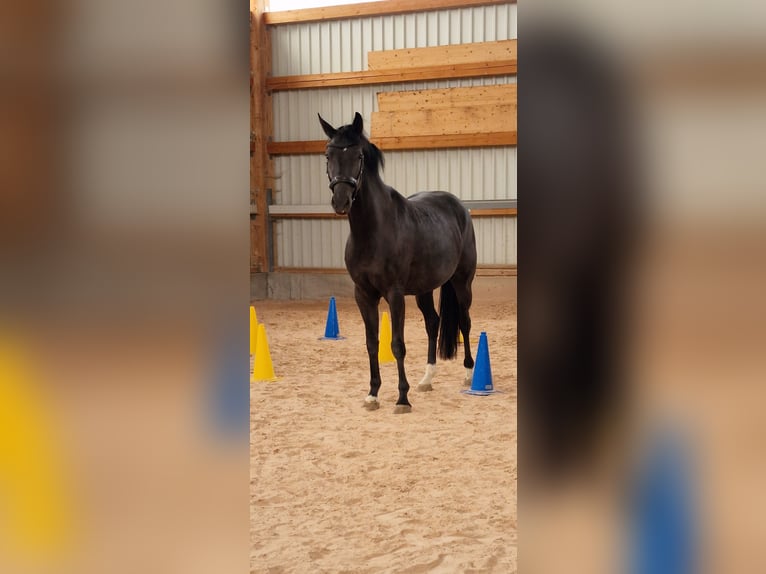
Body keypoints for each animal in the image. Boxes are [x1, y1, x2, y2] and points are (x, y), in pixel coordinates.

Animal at [318, 112, 477, 413]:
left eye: (358, 156)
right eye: (328, 155)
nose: (341, 201)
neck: (373, 231)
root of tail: (458, 207)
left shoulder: (395, 294)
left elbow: (397, 344)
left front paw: (402, 398)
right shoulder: (363, 294)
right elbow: (372, 343)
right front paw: (373, 394)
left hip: (462, 283)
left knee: (465, 322)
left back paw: (469, 374)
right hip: (425, 289)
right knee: (433, 323)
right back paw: (427, 379)